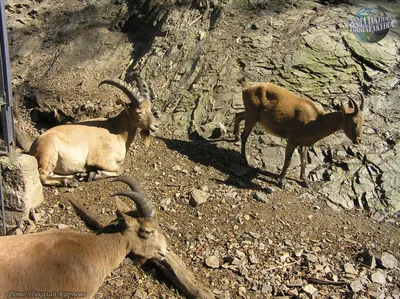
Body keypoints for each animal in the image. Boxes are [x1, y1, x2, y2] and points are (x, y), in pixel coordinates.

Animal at [27, 74, 156, 188]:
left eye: (150, 108)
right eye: (138, 112)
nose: (155, 126)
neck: (116, 133)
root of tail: (33, 147)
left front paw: (87, 174)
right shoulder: (98, 159)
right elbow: (121, 169)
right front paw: (93, 174)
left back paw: (74, 176)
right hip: (49, 152)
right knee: (42, 175)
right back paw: (70, 181)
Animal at [234, 78, 366, 189]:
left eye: (362, 121)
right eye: (354, 122)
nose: (359, 140)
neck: (316, 121)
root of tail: (246, 87)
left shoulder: (304, 143)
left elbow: (304, 160)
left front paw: (305, 181)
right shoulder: (292, 140)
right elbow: (288, 161)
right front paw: (282, 182)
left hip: (253, 115)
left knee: (238, 115)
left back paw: (235, 137)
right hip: (252, 115)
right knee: (244, 135)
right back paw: (243, 159)